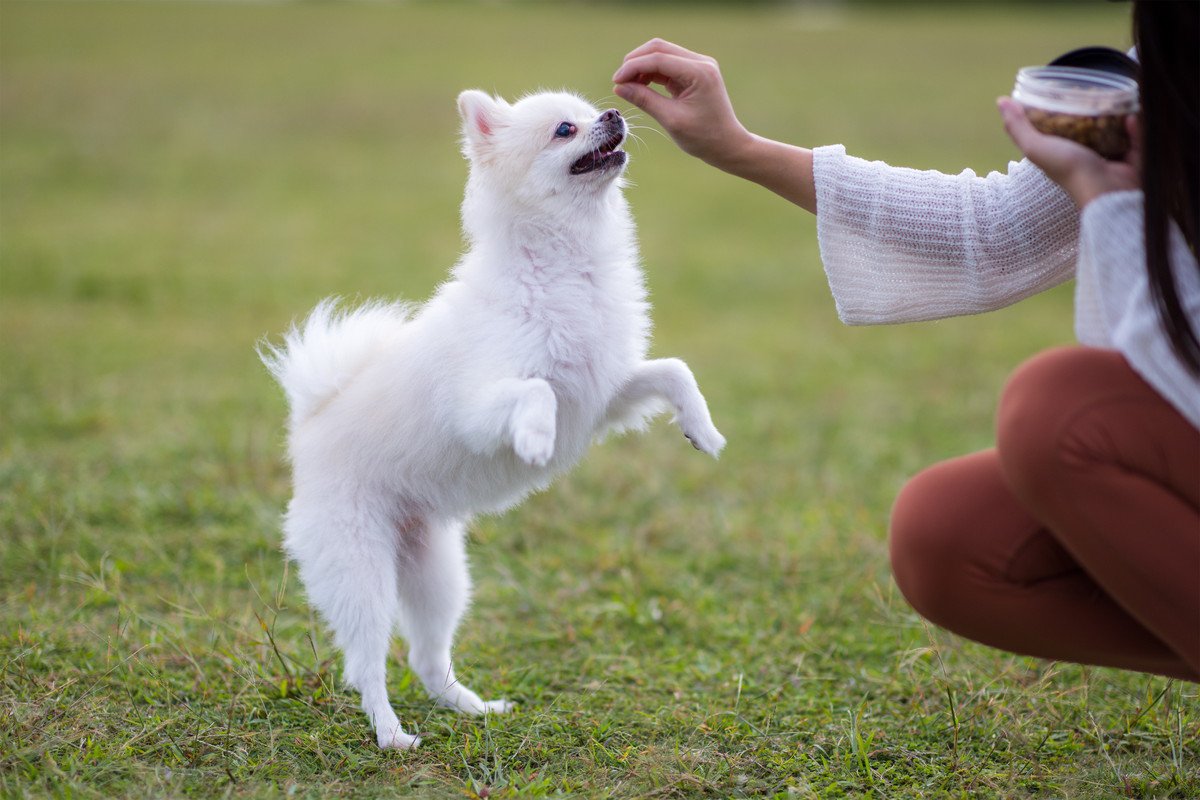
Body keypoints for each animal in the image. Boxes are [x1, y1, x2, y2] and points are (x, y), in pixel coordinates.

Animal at [264, 89, 724, 753]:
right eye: (565, 130)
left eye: (591, 111)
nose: (613, 115)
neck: (567, 263)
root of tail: (309, 425)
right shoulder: (479, 406)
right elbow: (536, 389)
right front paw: (535, 440)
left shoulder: (602, 398)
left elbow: (673, 370)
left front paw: (702, 429)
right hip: (361, 571)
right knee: (367, 666)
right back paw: (392, 735)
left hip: (438, 574)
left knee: (428, 659)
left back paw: (473, 709)